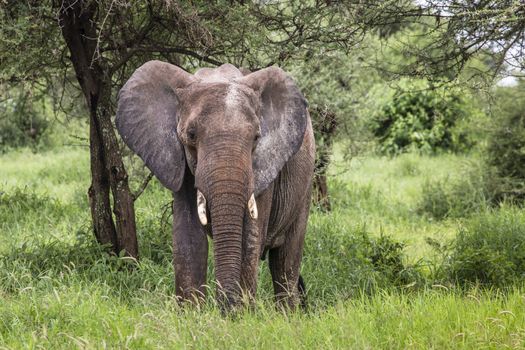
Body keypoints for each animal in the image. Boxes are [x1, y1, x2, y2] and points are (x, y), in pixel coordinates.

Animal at [116, 60, 314, 308]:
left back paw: (287, 312)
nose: (224, 306)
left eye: (256, 138)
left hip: (305, 187)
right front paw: (191, 313)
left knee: (285, 262)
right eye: (191, 135)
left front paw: (241, 313)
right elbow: (188, 236)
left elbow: (249, 238)